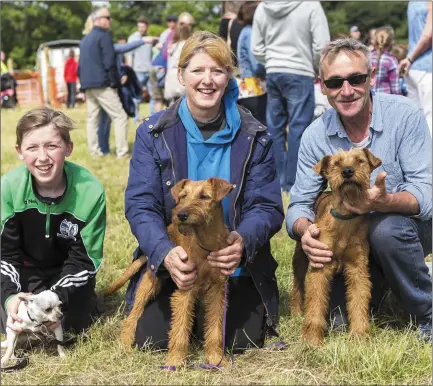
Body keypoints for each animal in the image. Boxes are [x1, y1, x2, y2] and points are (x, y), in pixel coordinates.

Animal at [104, 176, 233, 366]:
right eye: (183, 195)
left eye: (204, 196)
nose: (181, 215)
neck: (206, 244)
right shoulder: (186, 290)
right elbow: (180, 329)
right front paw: (175, 361)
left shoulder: (217, 291)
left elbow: (215, 330)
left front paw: (216, 359)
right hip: (149, 283)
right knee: (133, 315)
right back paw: (125, 343)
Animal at [288, 149, 380, 346]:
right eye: (336, 163)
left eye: (360, 161)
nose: (347, 171)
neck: (345, 219)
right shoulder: (320, 267)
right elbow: (315, 305)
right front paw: (311, 338)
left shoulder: (358, 268)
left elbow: (358, 302)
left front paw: (359, 335)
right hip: (300, 256)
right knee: (297, 285)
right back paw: (296, 313)